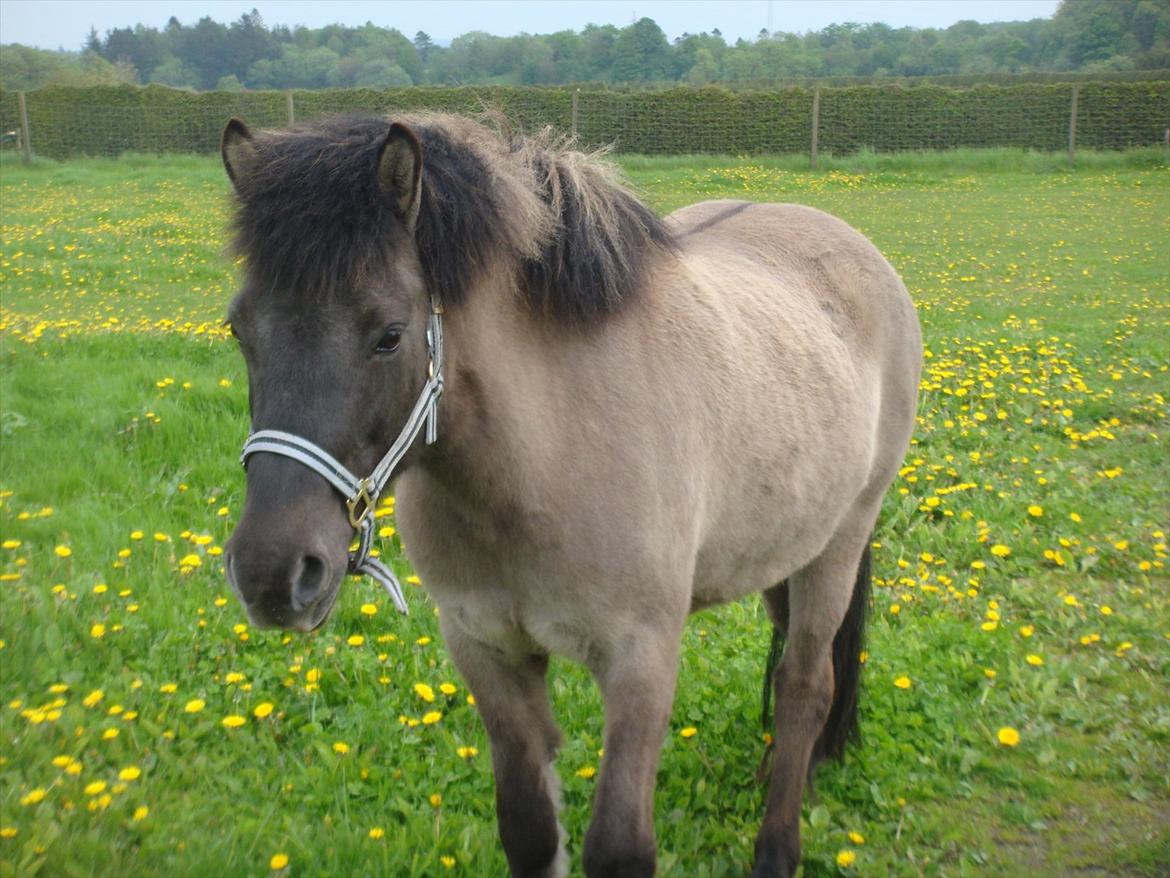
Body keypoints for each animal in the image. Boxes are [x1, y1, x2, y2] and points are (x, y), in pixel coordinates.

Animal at [217, 111, 912, 878]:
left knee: (804, 686)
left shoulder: (641, 659)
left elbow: (618, 847)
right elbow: (528, 827)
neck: (543, 459)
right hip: (784, 547)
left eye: (389, 335)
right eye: (239, 330)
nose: (273, 573)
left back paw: (777, 847)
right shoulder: (486, 649)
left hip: (840, 543)